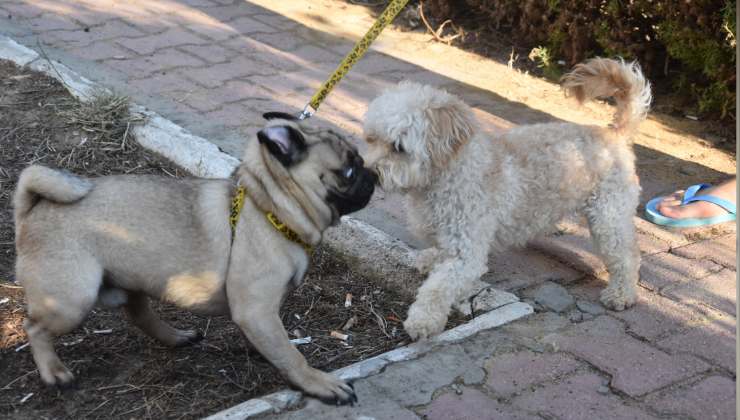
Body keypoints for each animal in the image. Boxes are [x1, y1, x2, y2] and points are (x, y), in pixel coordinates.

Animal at [13, 111, 376, 404]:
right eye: (347, 171)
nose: (371, 174)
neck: (270, 208)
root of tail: (33, 209)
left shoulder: (257, 314)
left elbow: (272, 341)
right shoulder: (257, 309)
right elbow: (290, 354)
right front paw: (316, 382)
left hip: (127, 279)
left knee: (139, 314)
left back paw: (177, 337)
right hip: (71, 301)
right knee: (35, 327)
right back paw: (54, 372)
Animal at [362, 57, 648, 340]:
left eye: (398, 148)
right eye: (371, 138)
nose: (370, 174)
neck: (448, 174)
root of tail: (614, 133)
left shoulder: (466, 253)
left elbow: (438, 289)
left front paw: (423, 320)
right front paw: (430, 258)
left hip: (609, 218)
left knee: (627, 256)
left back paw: (621, 294)